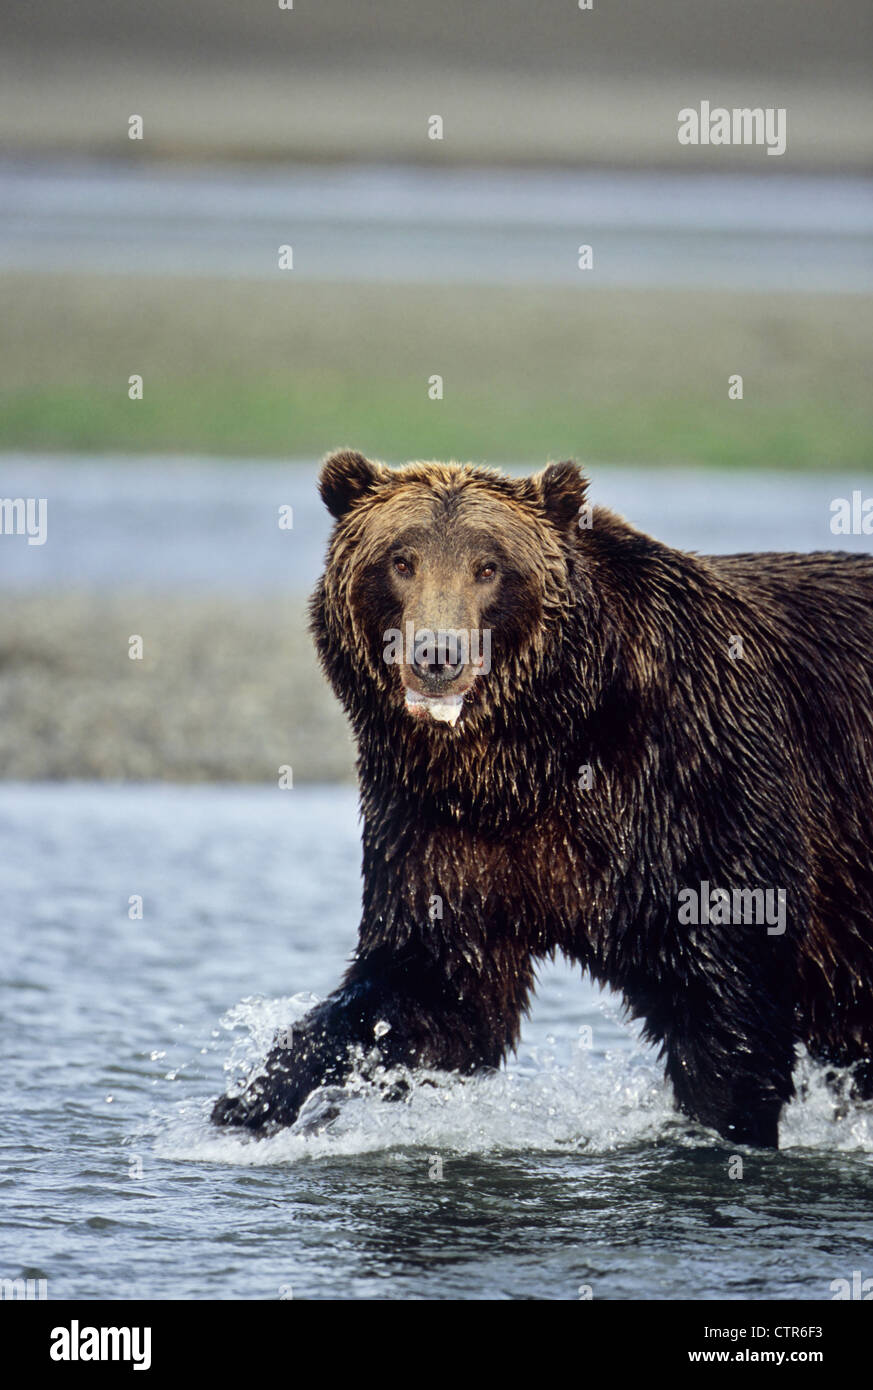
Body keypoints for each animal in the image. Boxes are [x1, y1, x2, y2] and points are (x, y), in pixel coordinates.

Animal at [211, 455, 873, 1150]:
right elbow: (431, 988)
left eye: (490, 566)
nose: (437, 656)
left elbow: (728, 997)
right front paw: (249, 1101)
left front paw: (725, 1129)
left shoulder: (698, 784)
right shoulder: (438, 823)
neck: (532, 759)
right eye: (401, 559)